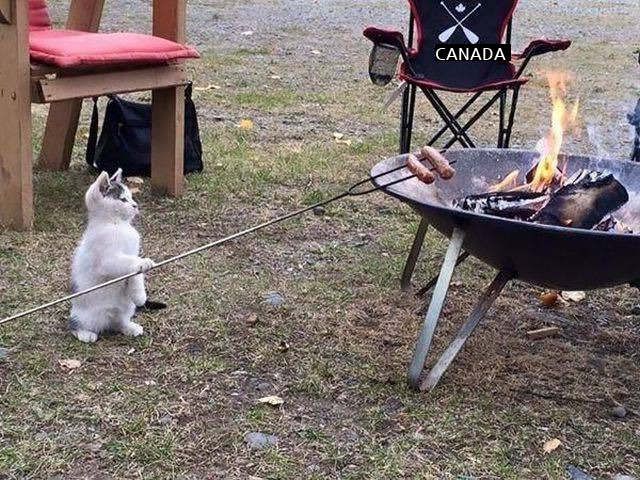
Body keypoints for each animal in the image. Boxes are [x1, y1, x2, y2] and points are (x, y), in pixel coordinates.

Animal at [70, 171, 155, 344]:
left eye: (131, 197)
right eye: (123, 199)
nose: (135, 205)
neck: (116, 224)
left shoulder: (131, 253)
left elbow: (134, 274)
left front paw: (139, 294)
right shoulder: (106, 261)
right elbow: (130, 261)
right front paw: (143, 262)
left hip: (126, 307)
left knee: (118, 321)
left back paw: (129, 327)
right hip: (87, 315)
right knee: (76, 324)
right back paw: (84, 333)